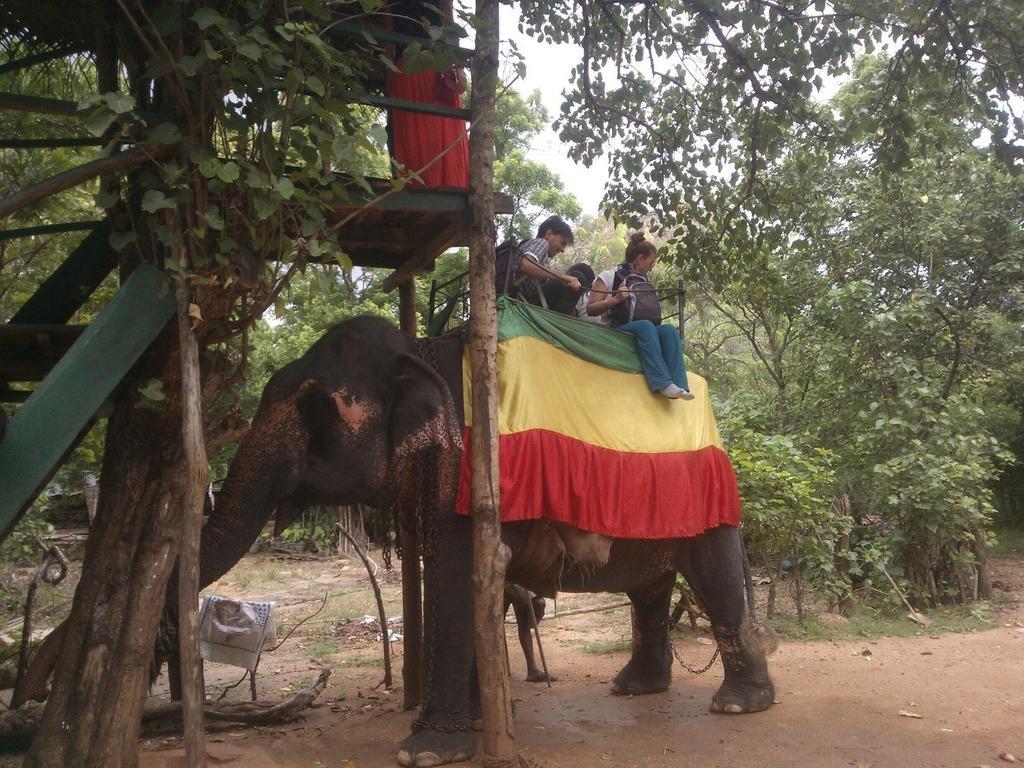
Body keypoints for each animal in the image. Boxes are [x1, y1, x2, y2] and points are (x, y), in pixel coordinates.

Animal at [186, 315, 774, 765]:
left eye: (317, 410)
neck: (419, 347)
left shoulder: (469, 473)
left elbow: (455, 579)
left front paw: (425, 752)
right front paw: (475, 724)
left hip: (708, 497)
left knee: (714, 577)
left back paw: (738, 705)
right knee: (649, 589)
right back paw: (634, 687)